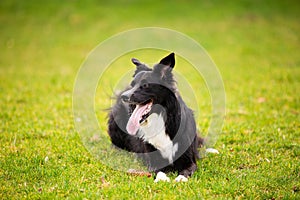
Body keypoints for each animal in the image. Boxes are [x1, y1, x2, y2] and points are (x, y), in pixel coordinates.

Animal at [106, 53, 203, 183]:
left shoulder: (189, 161)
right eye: (133, 84)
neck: (160, 119)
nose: (124, 96)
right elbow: (159, 171)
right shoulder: (153, 162)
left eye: (146, 85)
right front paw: (163, 179)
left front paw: (180, 179)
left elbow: (186, 170)